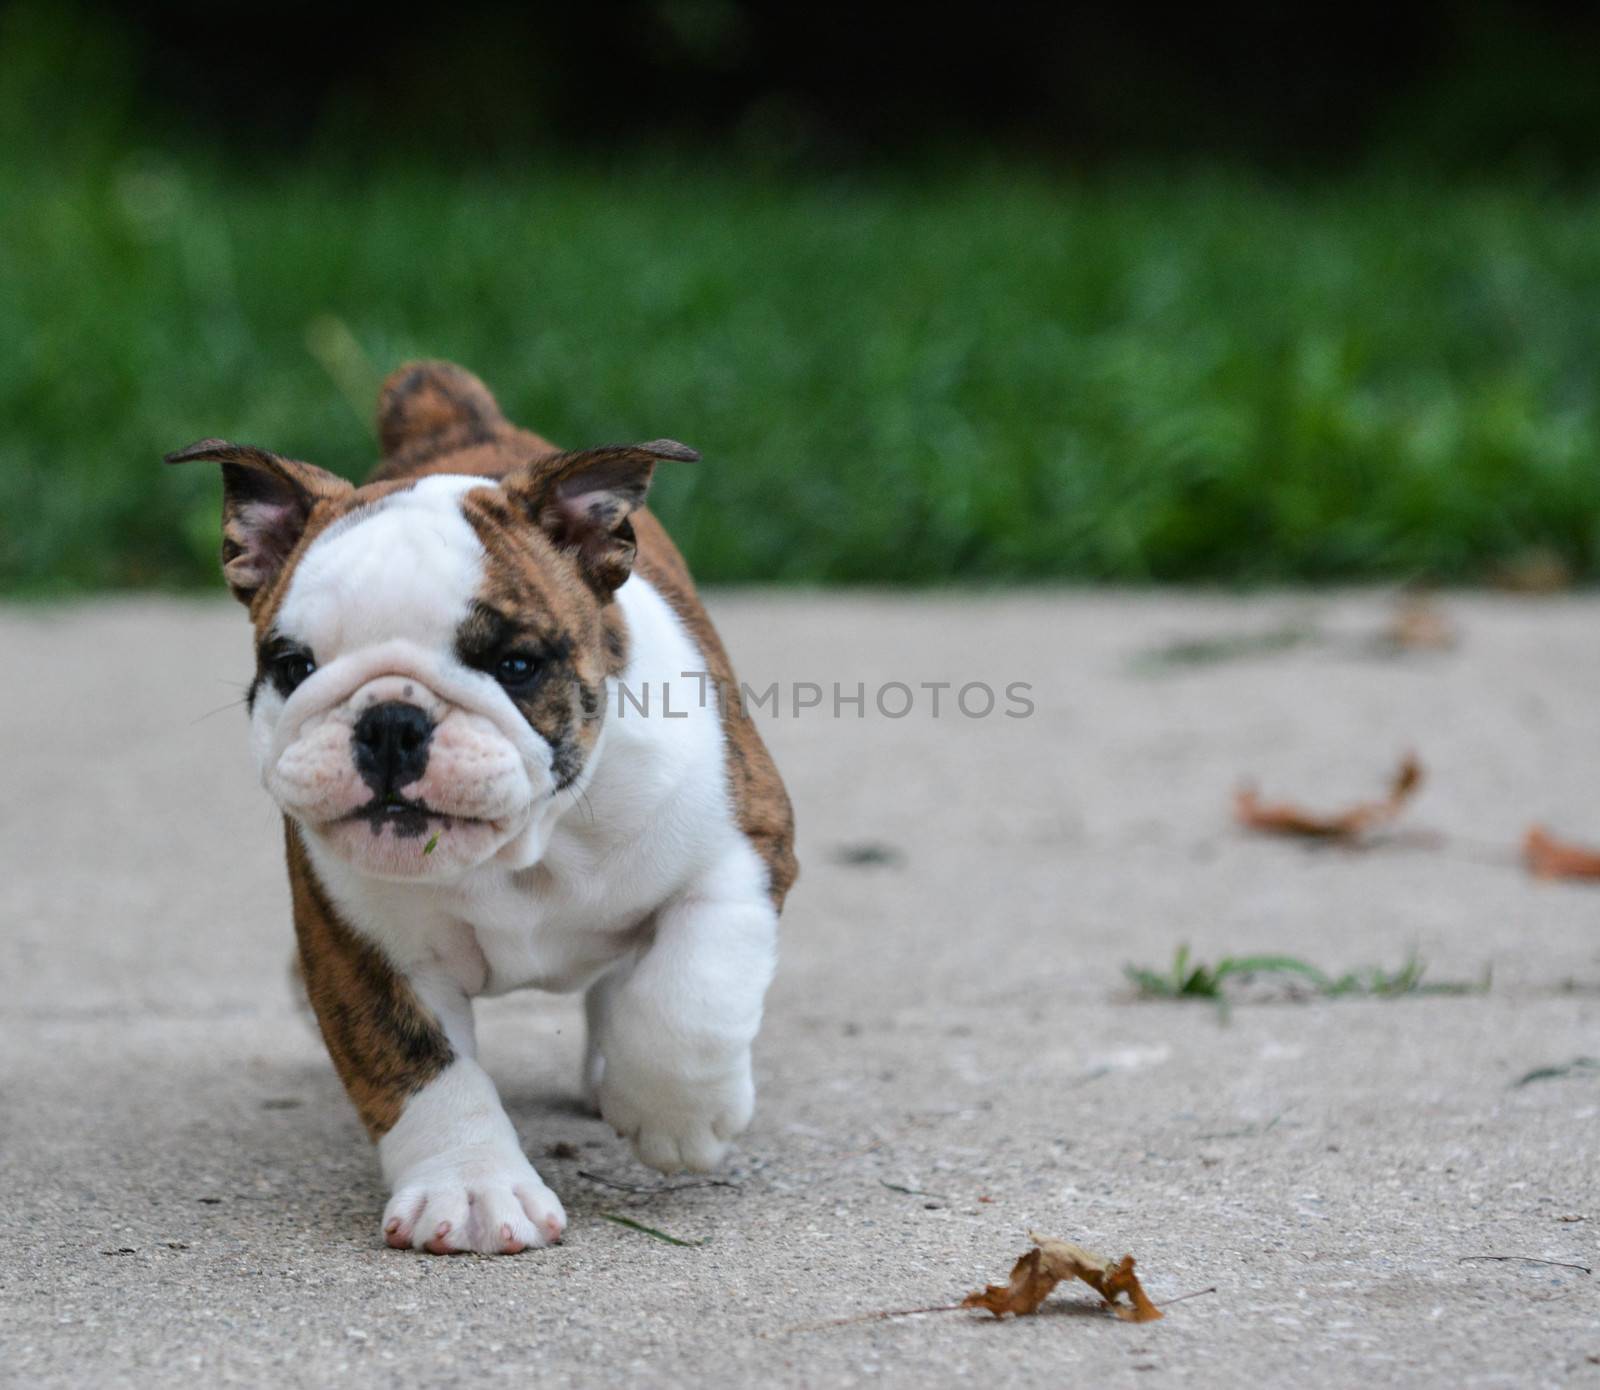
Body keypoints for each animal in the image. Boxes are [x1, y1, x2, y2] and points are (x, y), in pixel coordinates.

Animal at [168, 363, 793, 1254]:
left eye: (517, 664)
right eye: (292, 666)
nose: (391, 722)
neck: (530, 845)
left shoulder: (742, 851)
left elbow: (689, 996)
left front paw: (679, 1118)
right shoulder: (360, 944)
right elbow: (424, 1068)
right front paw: (469, 1188)